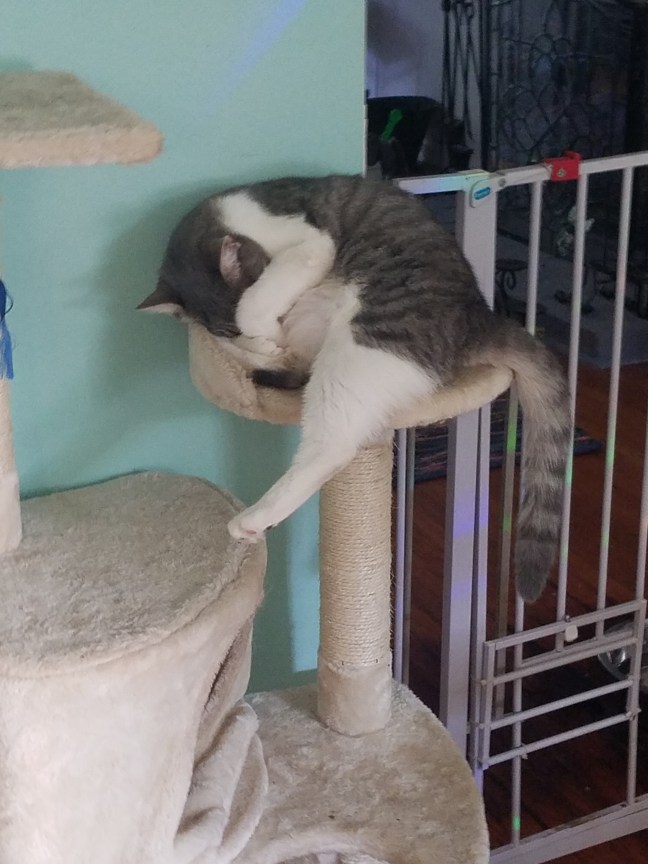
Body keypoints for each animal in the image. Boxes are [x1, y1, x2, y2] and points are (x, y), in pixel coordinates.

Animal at [139, 174, 571, 602]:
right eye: (225, 332)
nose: (274, 337)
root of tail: (478, 315)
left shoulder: (309, 241)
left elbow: (254, 303)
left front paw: (264, 334)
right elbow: (243, 342)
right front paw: (263, 347)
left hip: (364, 341)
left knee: (332, 446)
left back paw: (255, 517)